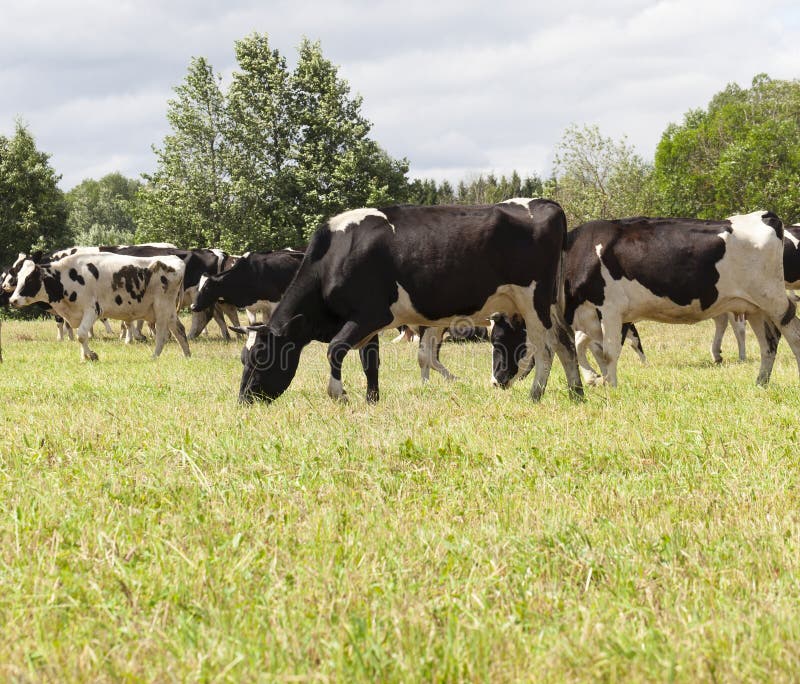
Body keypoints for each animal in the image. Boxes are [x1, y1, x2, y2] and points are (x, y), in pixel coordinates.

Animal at [8, 252, 190, 360]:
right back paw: (186, 355)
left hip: (162, 308)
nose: (13, 300)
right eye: (18, 277)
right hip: (169, 310)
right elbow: (82, 335)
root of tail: (174, 259)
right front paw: (84, 357)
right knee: (179, 329)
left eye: (30, 279)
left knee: (162, 334)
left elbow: (81, 334)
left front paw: (91, 355)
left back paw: (154, 356)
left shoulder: (92, 309)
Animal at [236, 198, 580, 404]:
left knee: (545, 348)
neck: (335, 255)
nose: (243, 400)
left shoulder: (369, 315)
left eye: (260, 358)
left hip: (533, 301)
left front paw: (339, 394)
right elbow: (370, 363)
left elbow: (335, 350)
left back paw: (536, 395)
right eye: (243, 358)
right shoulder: (368, 324)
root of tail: (546, 204)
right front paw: (371, 399)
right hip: (548, 304)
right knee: (564, 342)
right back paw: (576, 392)